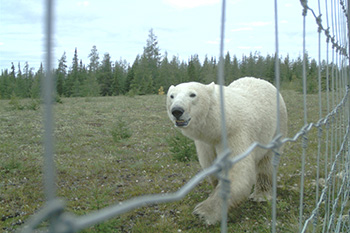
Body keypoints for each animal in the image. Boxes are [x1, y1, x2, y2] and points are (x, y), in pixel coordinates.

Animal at [167, 77, 288, 225]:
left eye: (192, 94)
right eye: (171, 96)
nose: (177, 111)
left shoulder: (235, 133)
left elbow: (237, 172)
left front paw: (204, 212)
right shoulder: (206, 143)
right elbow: (211, 165)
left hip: (277, 125)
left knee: (267, 162)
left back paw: (261, 195)